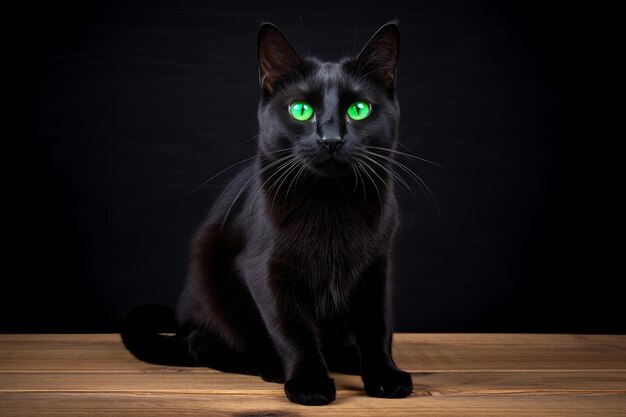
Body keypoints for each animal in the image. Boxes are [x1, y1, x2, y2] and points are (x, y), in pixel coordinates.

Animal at [122, 21, 412, 404]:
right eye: (301, 110)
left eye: (359, 110)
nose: (331, 139)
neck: (330, 203)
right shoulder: (266, 270)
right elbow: (293, 329)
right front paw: (309, 383)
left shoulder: (376, 268)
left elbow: (377, 325)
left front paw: (384, 374)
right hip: (213, 283)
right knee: (206, 347)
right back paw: (270, 365)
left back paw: (348, 357)